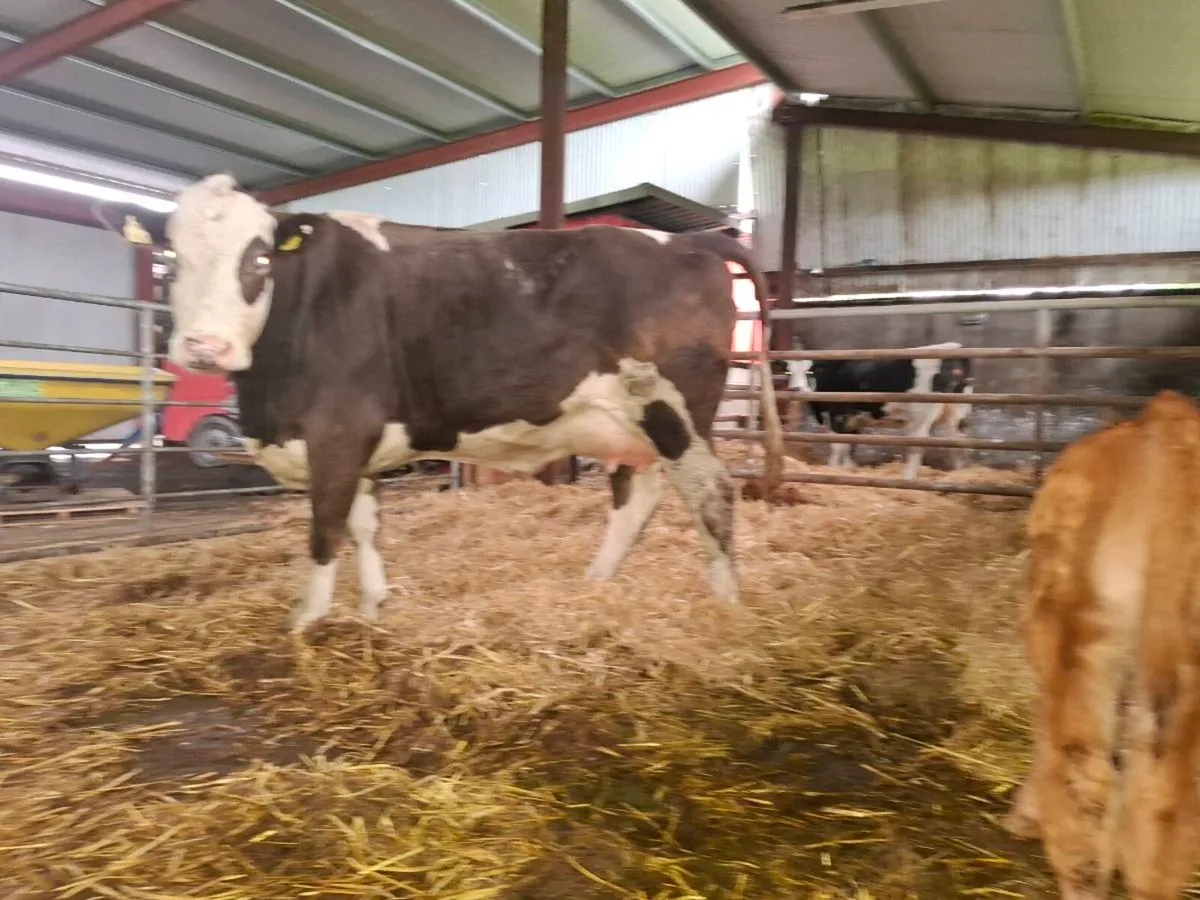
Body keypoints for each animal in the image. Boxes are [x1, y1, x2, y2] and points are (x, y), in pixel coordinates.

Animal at [103, 174, 784, 633]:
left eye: (260, 257)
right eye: (171, 257)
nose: (205, 346)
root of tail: (688, 243)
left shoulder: (335, 433)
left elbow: (324, 530)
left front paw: (307, 621)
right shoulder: (358, 444)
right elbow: (364, 524)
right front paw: (373, 605)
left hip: (676, 411)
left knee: (710, 492)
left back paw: (724, 600)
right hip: (629, 423)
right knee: (635, 496)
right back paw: (596, 583)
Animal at [792, 341, 974, 480]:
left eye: (810, 371)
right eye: (789, 371)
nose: (796, 389)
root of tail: (953, 346)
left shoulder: (838, 414)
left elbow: (839, 446)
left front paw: (833, 470)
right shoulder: (854, 420)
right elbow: (850, 446)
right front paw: (849, 468)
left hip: (921, 418)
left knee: (917, 447)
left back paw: (908, 478)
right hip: (957, 415)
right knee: (958, 444)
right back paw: (960, 476)